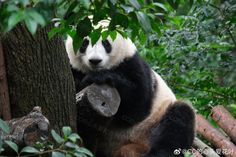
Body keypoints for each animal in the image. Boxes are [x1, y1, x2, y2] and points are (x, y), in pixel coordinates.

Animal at [65, 33, 195, 157]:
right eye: (84, 43)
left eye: (106, 43)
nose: (95, 60)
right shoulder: (71, 68)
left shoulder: (131, 63)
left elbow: (138, 106)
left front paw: (98, 77)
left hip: (155, 120)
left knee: (179, 120)